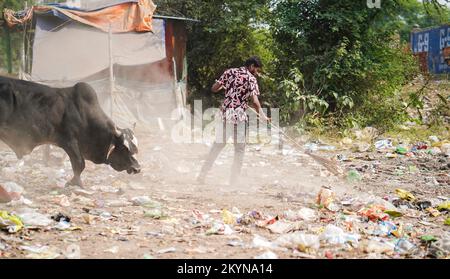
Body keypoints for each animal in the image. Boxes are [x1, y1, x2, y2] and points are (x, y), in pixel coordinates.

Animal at [0, 75, 141, 187]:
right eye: (124, 147)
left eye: (135, 148)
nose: (137, 168)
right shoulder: (69, 141)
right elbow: (79, 163)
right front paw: (75, 183)